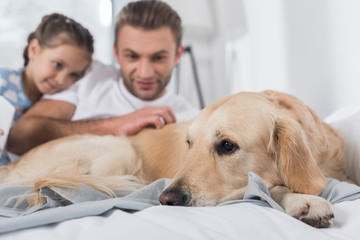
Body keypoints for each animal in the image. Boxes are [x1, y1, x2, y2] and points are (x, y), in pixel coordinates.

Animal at [0, 90, 348, 227]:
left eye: (227, 146)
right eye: (189, 144)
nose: (166, 199)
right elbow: (267, 186)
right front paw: (303, 201)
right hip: (118, 147)